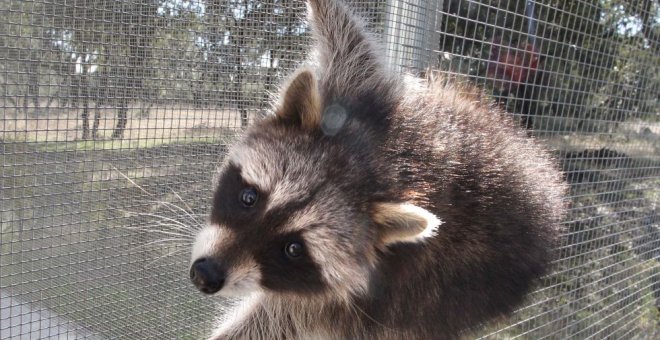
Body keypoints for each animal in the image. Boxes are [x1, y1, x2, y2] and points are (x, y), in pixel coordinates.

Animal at [188, 0, 564, 338]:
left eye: (293, 249)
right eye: (249, 197)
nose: (205, 275)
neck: (384, 170)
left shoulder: (359, 300)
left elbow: (276, 321)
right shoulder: (368, 101)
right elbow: (352, 43)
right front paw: (322, 6)